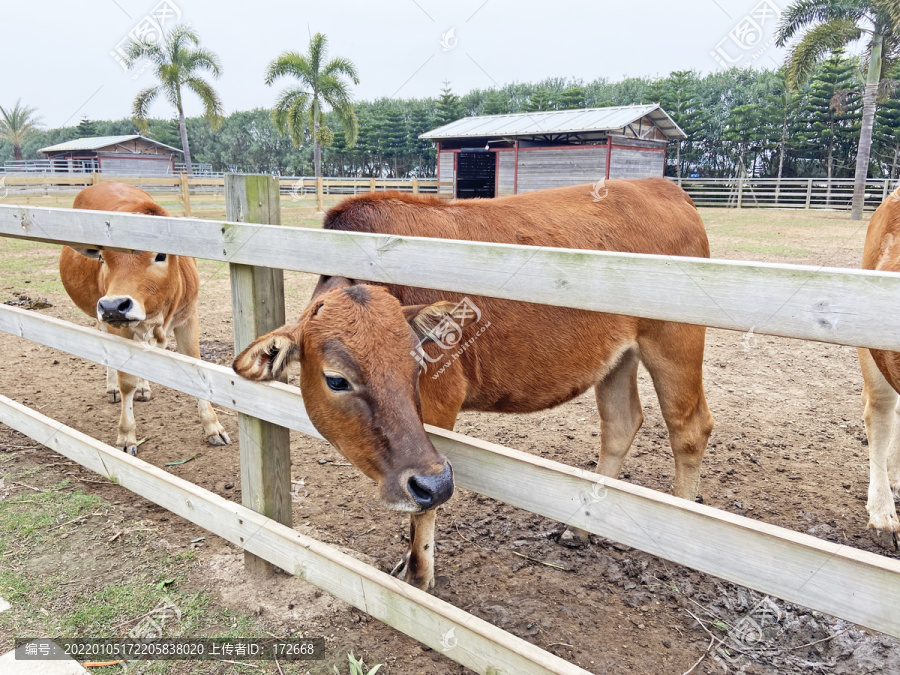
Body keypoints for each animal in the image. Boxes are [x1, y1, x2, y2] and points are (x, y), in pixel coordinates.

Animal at [59, 182, 229, 456]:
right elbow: (126, 380)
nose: (114, 306)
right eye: (102, 257)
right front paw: (126, 435)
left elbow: (197, 370)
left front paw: (213, 426)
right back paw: (113, 387)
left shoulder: (188, 317)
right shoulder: (118, 326)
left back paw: (144, 386)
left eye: (160, 255)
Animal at [234, 180, 716, 592]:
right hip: (618, 358)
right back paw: (579, 529)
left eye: (416, 366)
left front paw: (419, 574)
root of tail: (665, 186)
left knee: (689, 428)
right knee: (621, 424)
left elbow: (429, 503)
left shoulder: (440, 408)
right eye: (336, 379)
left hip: (675, 342)